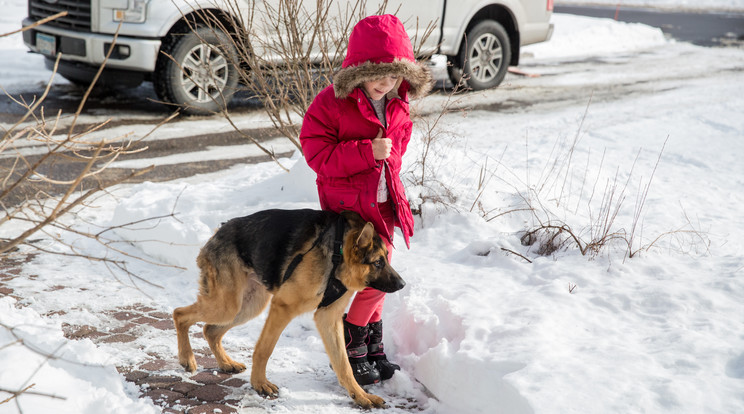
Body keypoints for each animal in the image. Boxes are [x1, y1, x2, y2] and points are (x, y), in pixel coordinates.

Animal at [173, 209, 406, 410]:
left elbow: (343, 364)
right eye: (378, 262)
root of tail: (219, 231)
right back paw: (187, 358)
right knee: (180, 314)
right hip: (227, 306)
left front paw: (360, 396)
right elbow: (264, 350)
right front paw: (259, 383)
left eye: (385, 259)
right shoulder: (282, 308)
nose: (403, 284)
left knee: (210, 330)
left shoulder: (328, 319)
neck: (337, 254)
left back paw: (225, 363)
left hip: (249, 306)